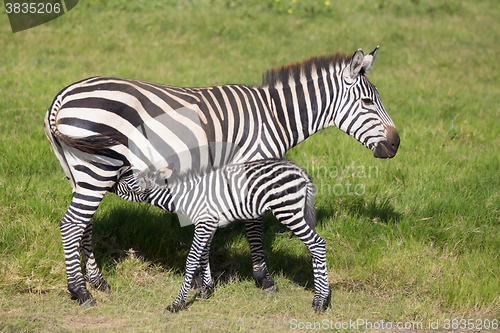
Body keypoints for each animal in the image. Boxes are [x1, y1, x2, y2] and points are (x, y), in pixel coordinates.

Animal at [45, 46, 400, 306]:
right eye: (368, 102)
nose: (396, 144)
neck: (275, 115)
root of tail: (62, 96)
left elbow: (211, 227)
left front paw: (203, 283)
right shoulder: (253, 164)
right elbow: (254, 226)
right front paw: (264, 279)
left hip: (79, 172)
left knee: (84, 224)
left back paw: (97, 282)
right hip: (98, 167)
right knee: (71, 224)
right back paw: (80, 292)